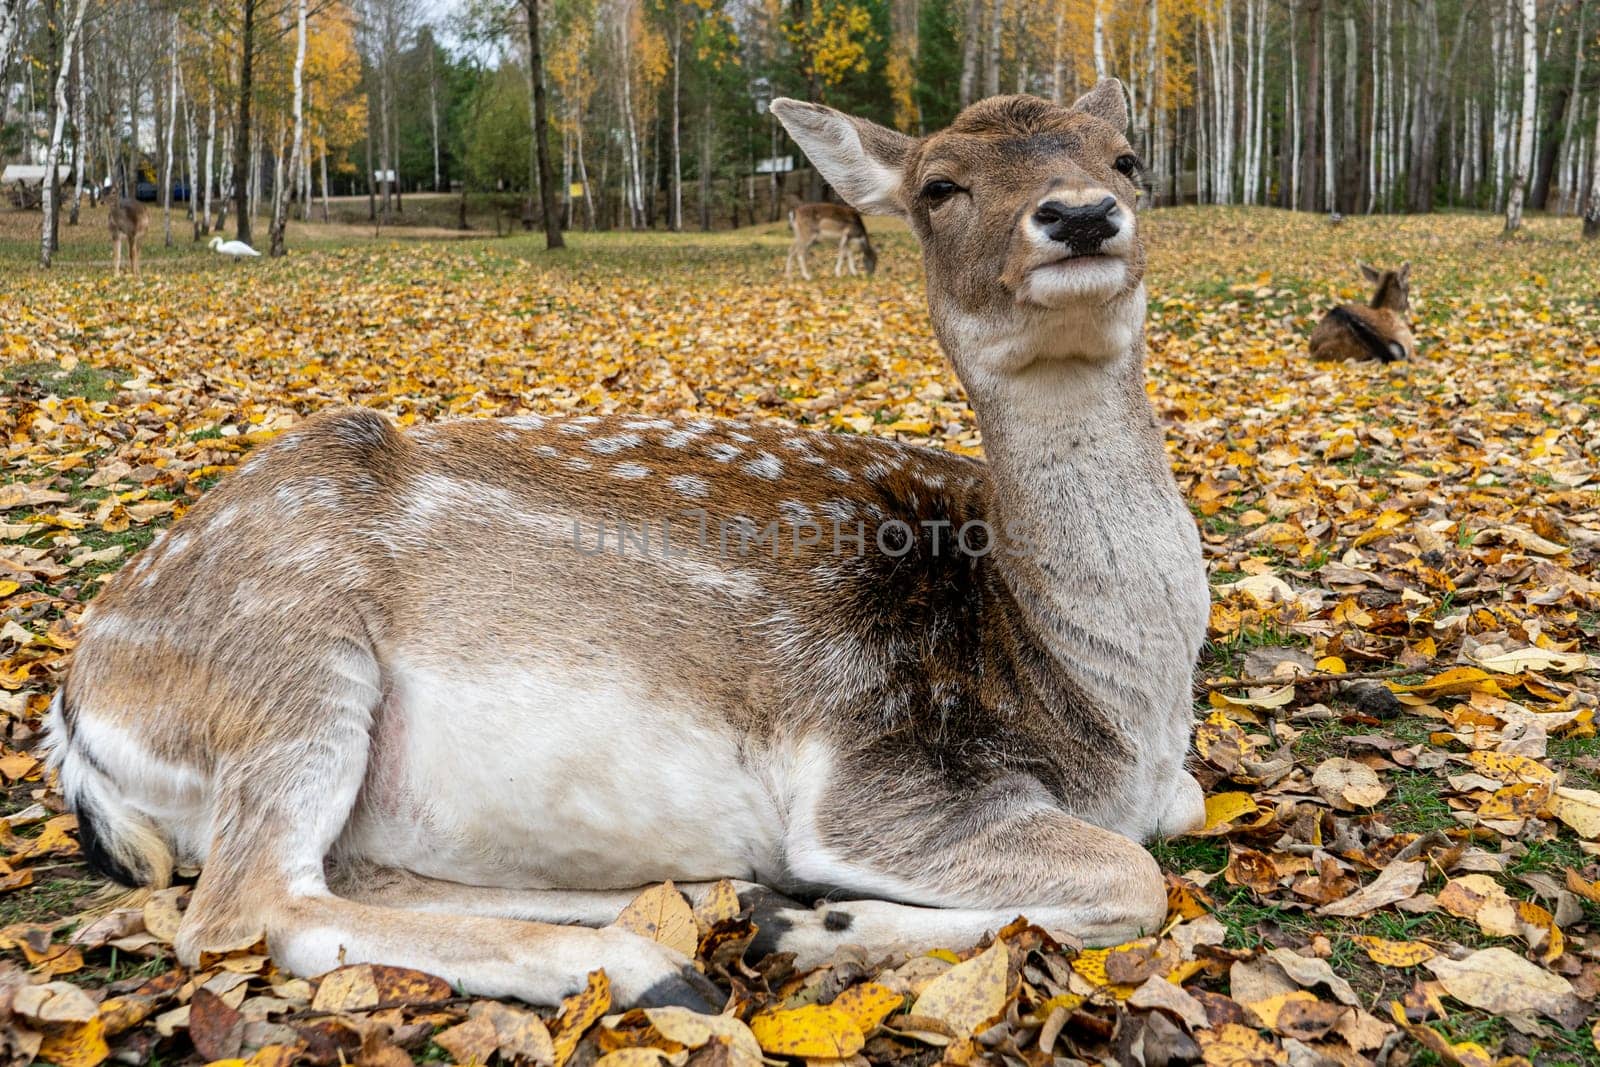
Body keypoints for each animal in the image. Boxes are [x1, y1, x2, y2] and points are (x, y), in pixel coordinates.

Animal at [43, 79, 1203, 1017]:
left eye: (1126, 157)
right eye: (940, 186)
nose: (1081, 213)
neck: (1115, 708)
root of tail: (76, 715)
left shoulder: (1151, 783)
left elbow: (1177, 817)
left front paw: (796, 915)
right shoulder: (883, 775)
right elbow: (1133, 876)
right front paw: (820, 924)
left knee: (354, 873)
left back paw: (698, 896)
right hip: (290, 661)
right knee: (248, 907)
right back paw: (655, 965)